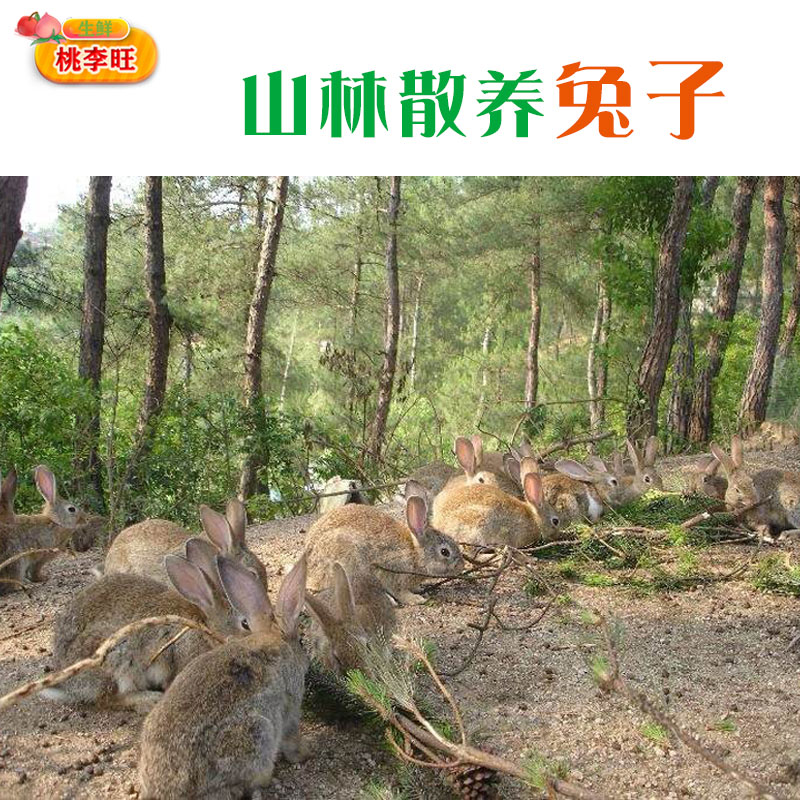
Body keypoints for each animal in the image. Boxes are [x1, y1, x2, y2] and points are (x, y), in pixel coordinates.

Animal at [43, 538, 245, 712]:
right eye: (245, 623)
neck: (205, 625)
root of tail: (68, 686)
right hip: (113, 657)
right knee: (109, 698)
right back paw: (148, 699)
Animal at [137, 554, 309, 800]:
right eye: (302, 642)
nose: (307, 661)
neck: (274, 637)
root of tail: (168, 792)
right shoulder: (291, 706)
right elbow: (291, 737)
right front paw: (305, 753)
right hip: (257, 734)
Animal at [307, 485, 464, 606]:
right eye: (444, 552)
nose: (462, 566)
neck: (414, 553)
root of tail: (310, 572)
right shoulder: (392, 572)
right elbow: (399, 592)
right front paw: (416, 599)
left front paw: (418, 589)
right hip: (347, 561)